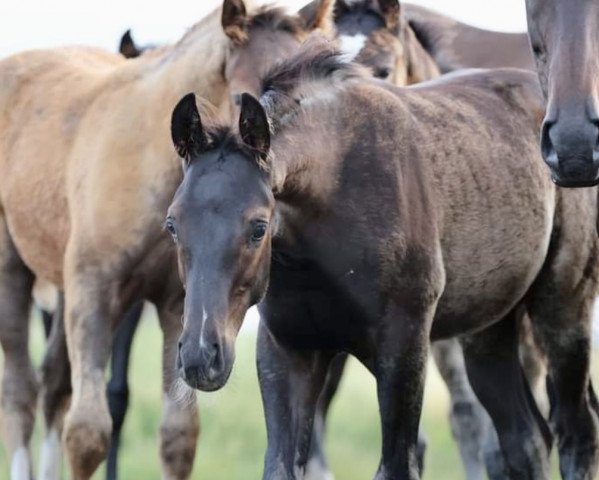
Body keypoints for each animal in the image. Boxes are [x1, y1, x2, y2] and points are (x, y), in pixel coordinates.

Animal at [166, 42, 599, 480]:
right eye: (172, 224)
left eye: (258, 227)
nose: (201, 357)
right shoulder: (288, 349)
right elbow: (281, 465)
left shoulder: (403, 346)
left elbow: (397, 464)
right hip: (488, 329)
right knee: (525, 437)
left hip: (563, 308)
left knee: (575, 428)